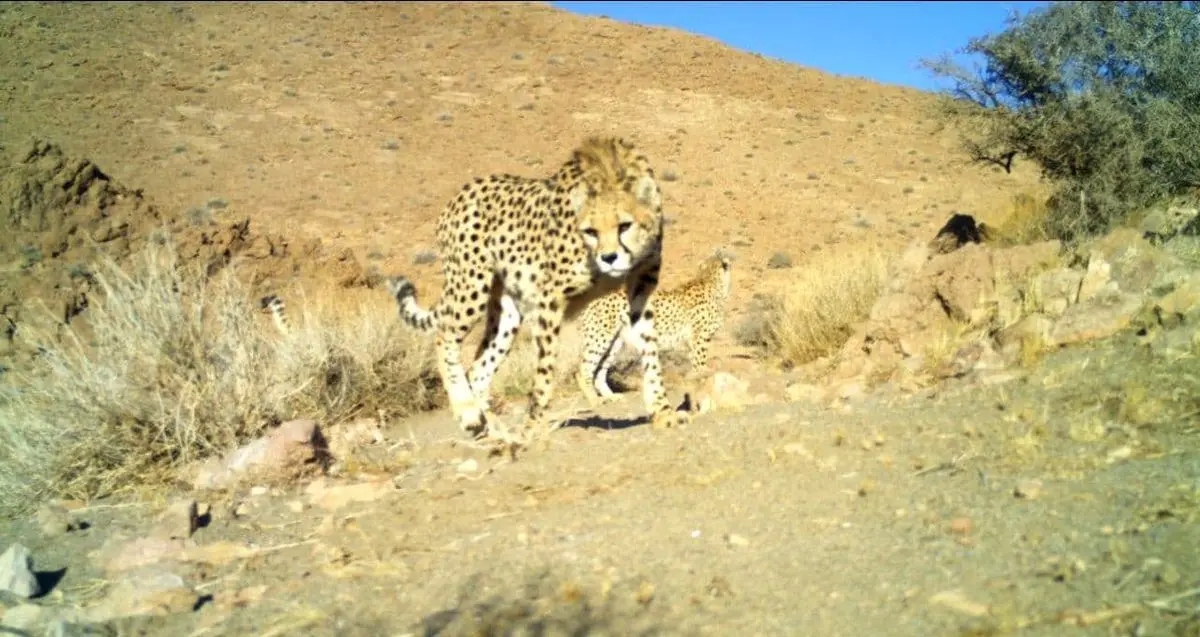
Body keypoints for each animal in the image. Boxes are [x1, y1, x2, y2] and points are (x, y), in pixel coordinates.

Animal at [388, 137, 691, 441]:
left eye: (625, 225)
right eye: (590, 231)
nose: (609, 258)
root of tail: (459, 196)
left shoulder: (641, 286)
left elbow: (650, 351)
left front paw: (663, 412)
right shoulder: (550, 297)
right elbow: (545, 370)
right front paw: (534, 425)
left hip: (507, 314)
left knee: (478, 368)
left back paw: (495, 430)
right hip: (471, 285)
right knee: (444, 337)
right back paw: (469, 413)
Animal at [573, 251, 729, 405]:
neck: (711, 281)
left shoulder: (691, 342)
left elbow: (695, 364)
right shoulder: (700, 338)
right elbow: (700, 364)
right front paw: (702, 381)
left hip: (614, 342)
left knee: (599, 370)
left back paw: (610, 396)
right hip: (600, 338)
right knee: (582, 370)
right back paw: (594, 399)